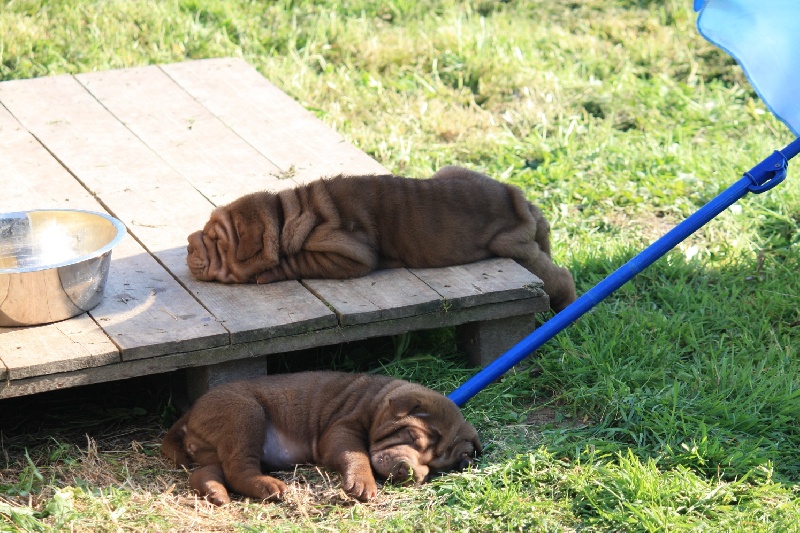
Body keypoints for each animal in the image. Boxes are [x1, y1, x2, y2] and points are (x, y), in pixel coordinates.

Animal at [159, 370, 478, 502]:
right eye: (411, 436)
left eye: (436, 466)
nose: (408, 472)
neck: (377, 402)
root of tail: (191, 413)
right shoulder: (342, 429)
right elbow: (356, 454)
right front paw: (363, 484)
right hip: (244, 413)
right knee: (238, 469)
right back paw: (269, 487)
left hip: (213, 446)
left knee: (208, 471)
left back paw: (216, 492)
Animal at [186, 166, 576, 312]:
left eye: (216, 240)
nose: (189, 243)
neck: (286, 213)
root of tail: (522, 199)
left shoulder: (349, 253)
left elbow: (296, 261)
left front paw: (269, 272)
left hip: (512, 244)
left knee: (559, 275)